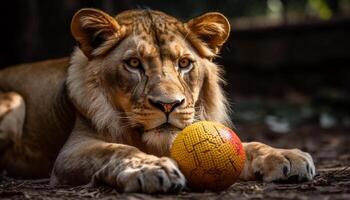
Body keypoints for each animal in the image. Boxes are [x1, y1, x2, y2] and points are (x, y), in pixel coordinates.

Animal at [0, 8, 314, 193]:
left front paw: (286, 156)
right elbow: (116, 149)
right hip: (14, 100)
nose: (168, 105)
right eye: (134, 63)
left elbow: (249, 146)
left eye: (184, 63)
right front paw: (149, 168)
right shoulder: (71, 153)